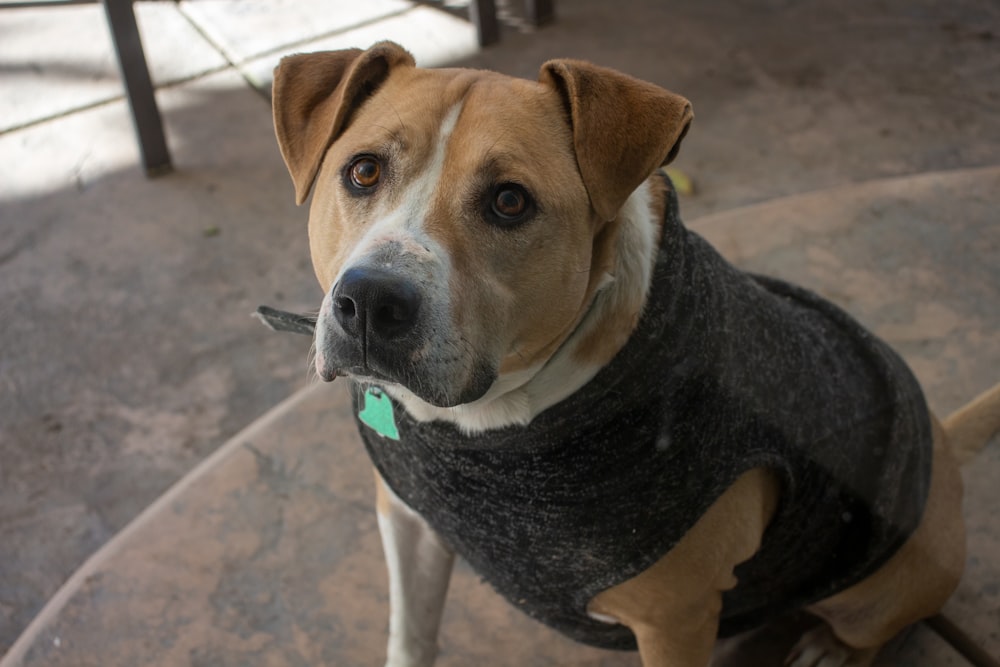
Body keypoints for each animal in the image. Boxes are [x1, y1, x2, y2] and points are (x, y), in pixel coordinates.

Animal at [268, 41, 1000, 667]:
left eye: (509, 201)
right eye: (364, 170)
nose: (370, 301)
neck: (494, 417)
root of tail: (944, 449)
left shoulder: (675, 617)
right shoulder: (408, 520)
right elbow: (412, 633)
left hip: (878, 588)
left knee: (874, 628)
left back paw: (834, 647)